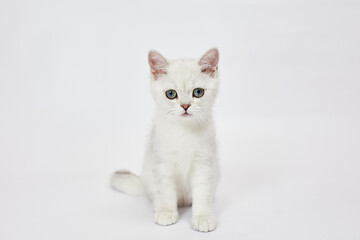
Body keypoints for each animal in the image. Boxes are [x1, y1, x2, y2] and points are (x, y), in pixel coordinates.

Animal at [111, 47, 221, 232]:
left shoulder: (204, 163)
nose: (185, 106)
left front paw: (203, 217)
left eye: (198, 92)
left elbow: (202, 194)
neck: (184, 130)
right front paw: (166, 212)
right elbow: (165, 191)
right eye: (171, 94)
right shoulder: (162, 163)